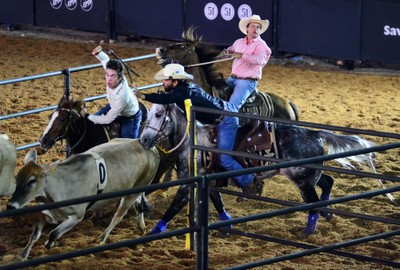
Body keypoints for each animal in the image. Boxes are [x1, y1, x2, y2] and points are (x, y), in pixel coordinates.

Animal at [139, 104, 376, 235]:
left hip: (303, 181)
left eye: (159, 115)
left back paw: (309, 229)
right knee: (327, 182)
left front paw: (154, 232)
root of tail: (314, 133)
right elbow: (218, 202)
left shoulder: (188, 186)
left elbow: (173, 208)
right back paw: (328, 213)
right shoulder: (210, 183)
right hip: (309, 176)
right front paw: (227, 226)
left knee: (314, 203)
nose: (144, 139)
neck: (193, 144)